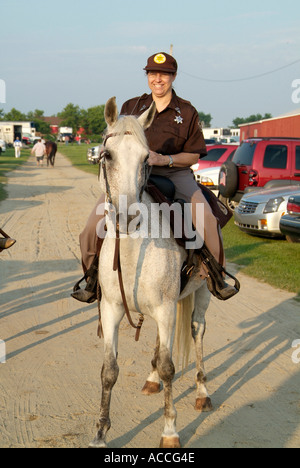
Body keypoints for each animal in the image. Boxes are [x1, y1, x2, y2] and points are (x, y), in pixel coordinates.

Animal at [88, 98, 212, 450]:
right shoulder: (112, 309)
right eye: (107, 155)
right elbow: (108, 371)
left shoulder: (167, 308)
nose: (128, 218)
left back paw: (202, 392)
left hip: (201, 293)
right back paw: (152, 379)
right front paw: (100, 433)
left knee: (197, 331)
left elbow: (171, 368)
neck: (132, 253)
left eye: (147, 159)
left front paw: (170, 431)